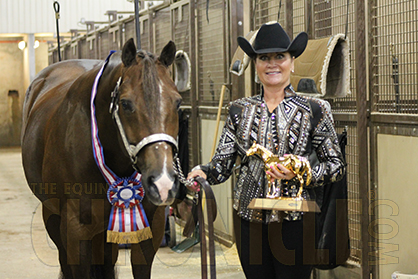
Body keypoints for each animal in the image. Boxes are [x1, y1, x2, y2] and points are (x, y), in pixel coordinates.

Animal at [21, 39, 181, 279]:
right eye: (125, 103)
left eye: (178, 102)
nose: (162, 182)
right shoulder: (75, 230)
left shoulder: (151, 226)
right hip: (52, 215)